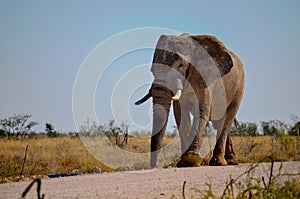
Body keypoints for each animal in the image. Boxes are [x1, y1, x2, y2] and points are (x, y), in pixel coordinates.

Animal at [135, 33, 244, 167]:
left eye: (180, 66)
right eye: (152, 70)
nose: (154, 166)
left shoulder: (205, 78)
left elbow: (202, 111)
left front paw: (192, 158)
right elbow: (180, 114)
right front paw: (183, 163)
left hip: (239, 88)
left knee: (227, 119)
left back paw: (219, 162)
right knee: (220, 122)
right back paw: (231, 161)